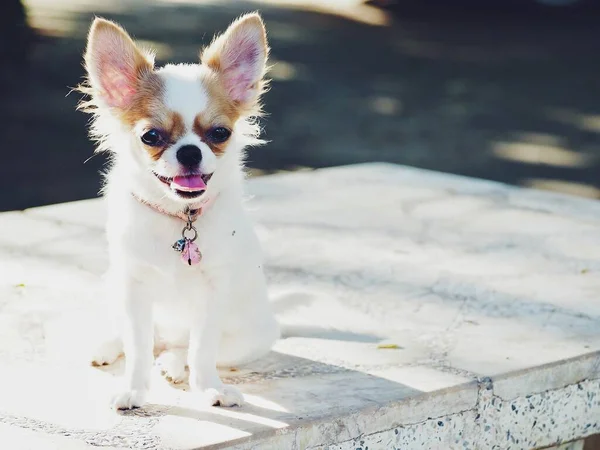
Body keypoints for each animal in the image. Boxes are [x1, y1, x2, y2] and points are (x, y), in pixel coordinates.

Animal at [77, 14, 278, 410]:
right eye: (151, 136)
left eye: (220, 133)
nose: (189, 152)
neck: (180, 216)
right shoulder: (133, 288)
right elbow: (137, 346)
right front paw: (133, 389)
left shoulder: (213, 293)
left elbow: (202, 349)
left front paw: (209, 388)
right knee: (145, 338)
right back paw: (108, 345)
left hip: (255, 335)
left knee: (186, 348)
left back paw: (173, 363)